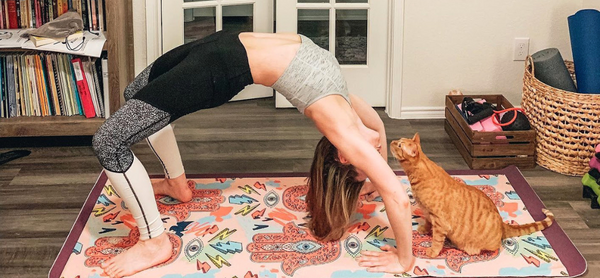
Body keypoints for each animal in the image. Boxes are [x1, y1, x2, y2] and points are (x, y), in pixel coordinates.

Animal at [390, 134, 552, 258]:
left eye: (399, 145)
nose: (391, 141)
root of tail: (501, 223)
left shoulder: (440, 222)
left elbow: (436, 240)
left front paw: (432, 251)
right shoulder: (428, 214)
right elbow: (428, 222)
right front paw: (424, 229)